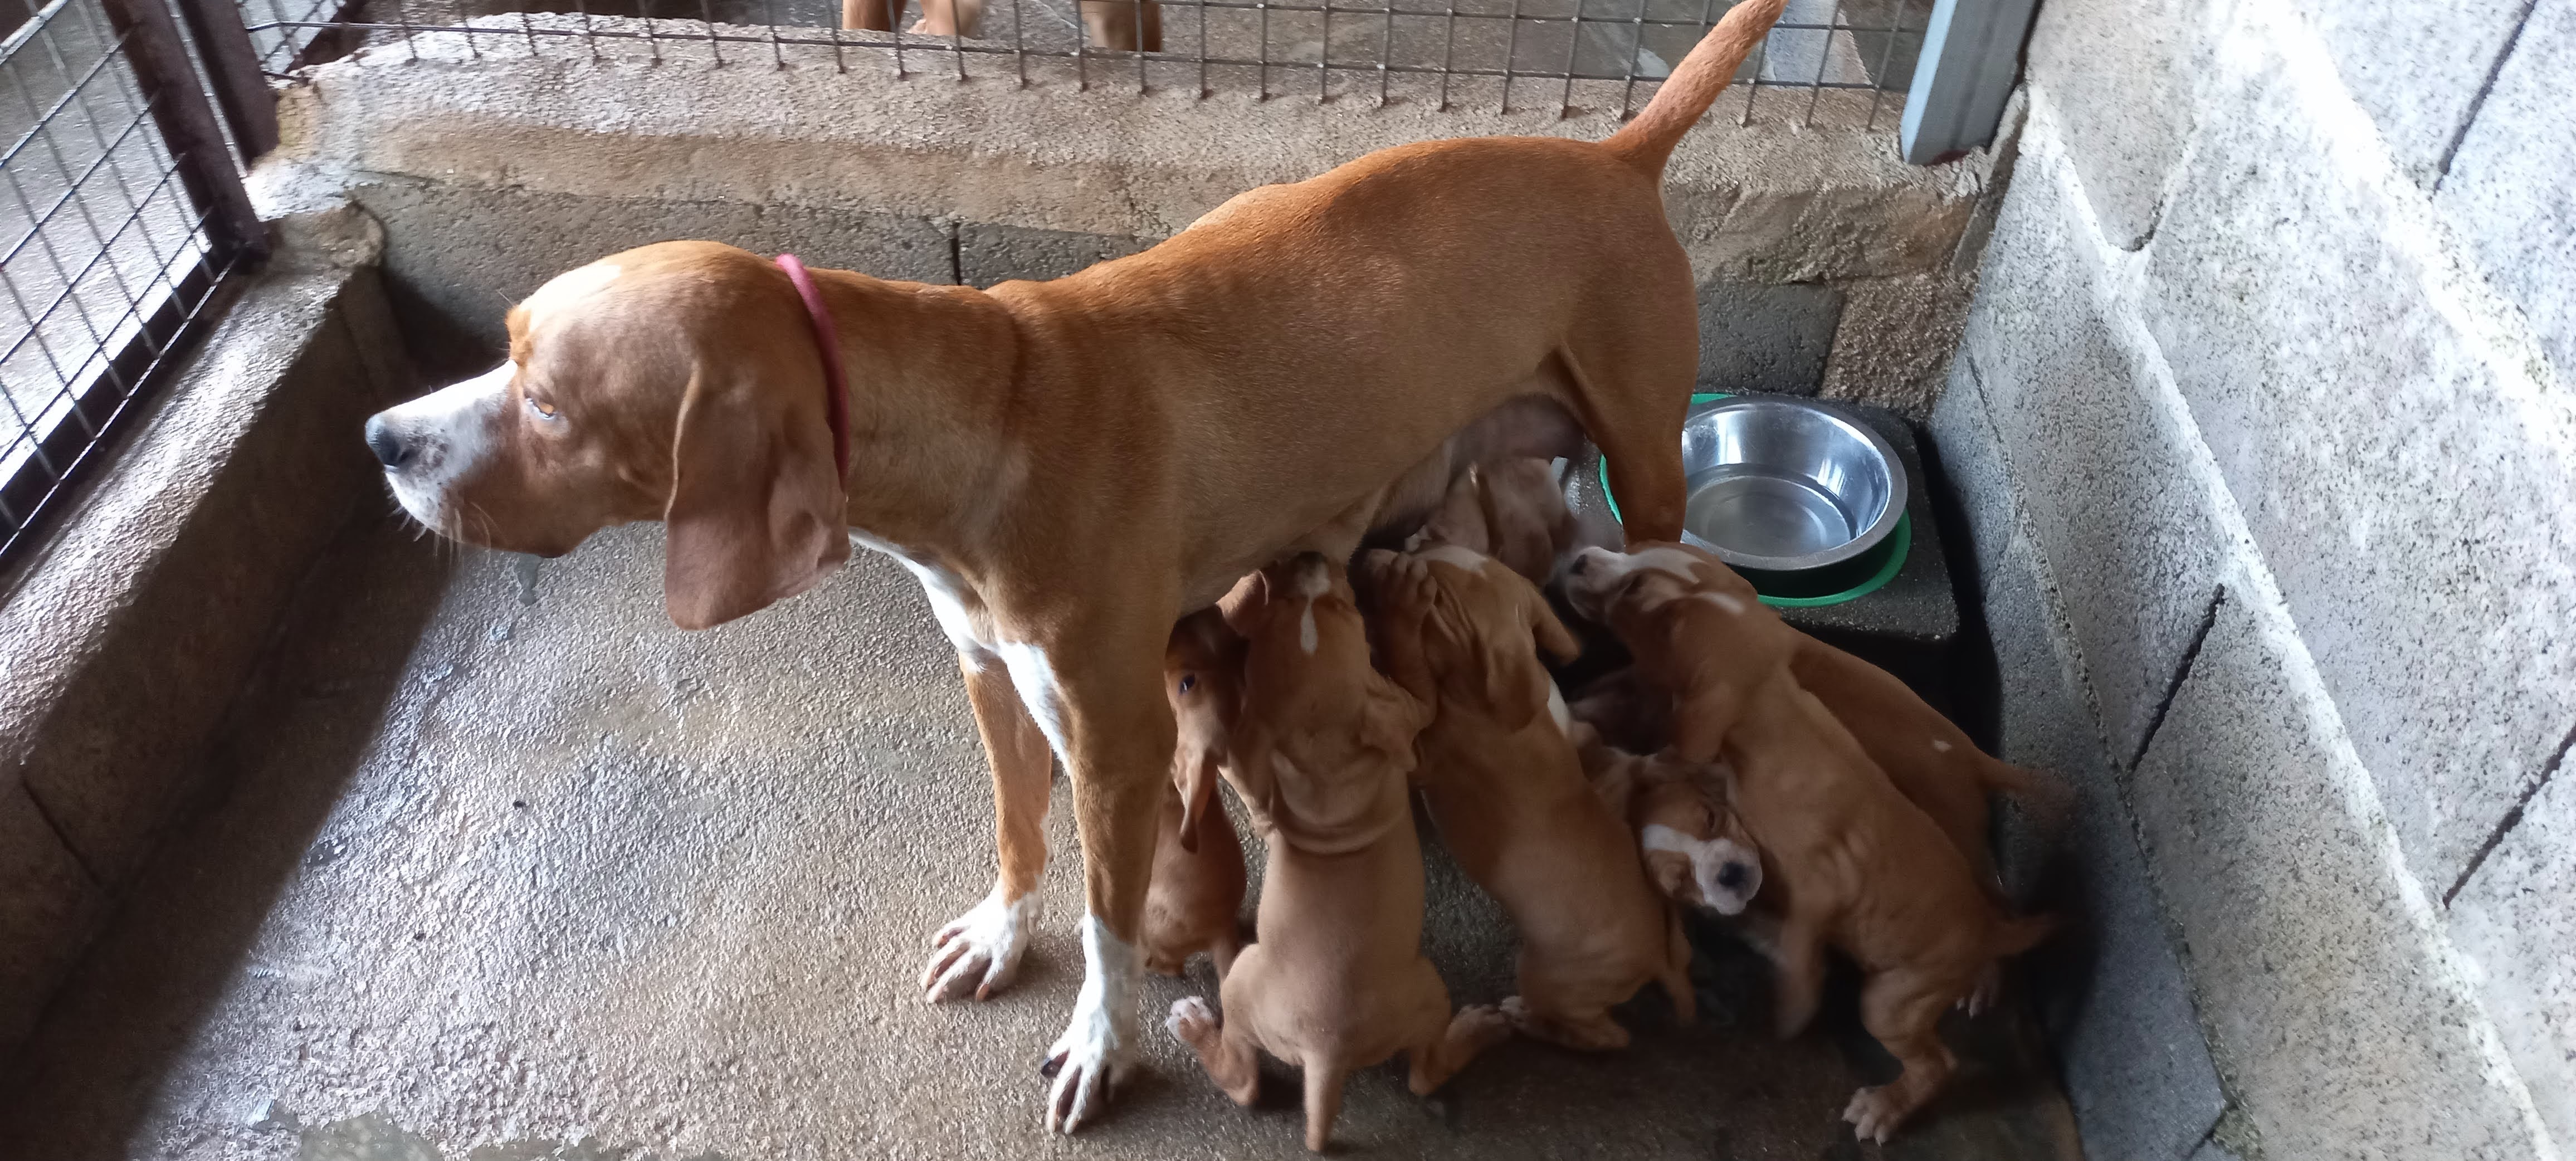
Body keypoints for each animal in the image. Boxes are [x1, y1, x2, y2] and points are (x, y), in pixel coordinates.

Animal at [1360, 545, 1700, 1055]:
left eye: (1435, 600)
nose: (1370, 555)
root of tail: (1657, 957)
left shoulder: (1421, 753)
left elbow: (1410, 675)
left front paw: (1399, 609)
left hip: (1546, 977)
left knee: (1608, 1037)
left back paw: (1529, 1021)